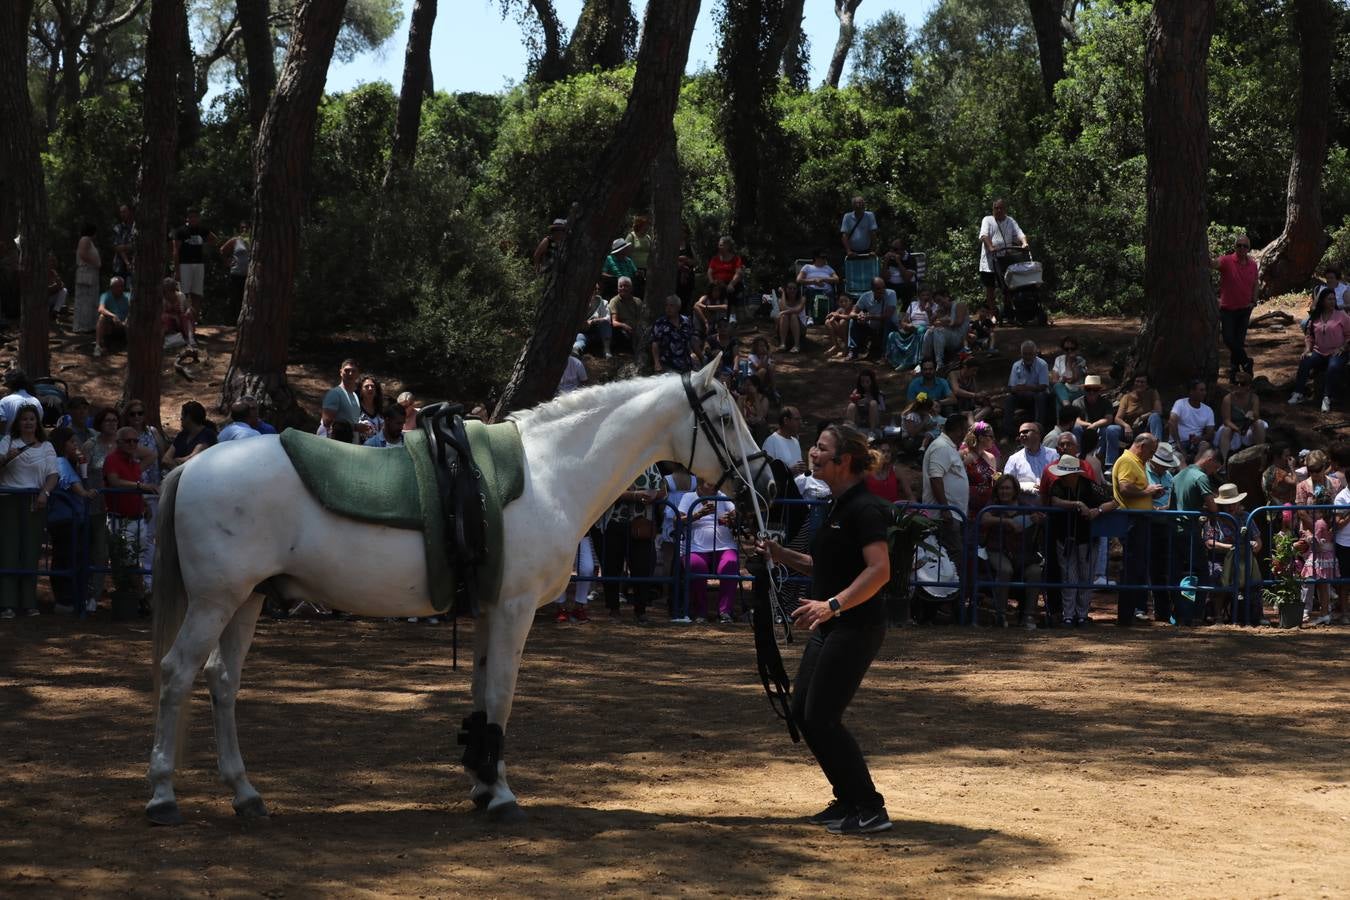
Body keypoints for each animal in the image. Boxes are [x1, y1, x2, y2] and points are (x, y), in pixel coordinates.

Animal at [146, 356, 772, 825]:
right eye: (724, 416)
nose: (764, 478)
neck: (549, 472)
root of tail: (195, 467)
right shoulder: (514, 609)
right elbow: (501, 694)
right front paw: (501, 796)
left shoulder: (489, 609)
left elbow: (481, 691)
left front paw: (480, 780)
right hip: (217, 601)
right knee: (177, 674)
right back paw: (162, 795)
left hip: (246, 600)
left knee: (221, 682)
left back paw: (245, 794)